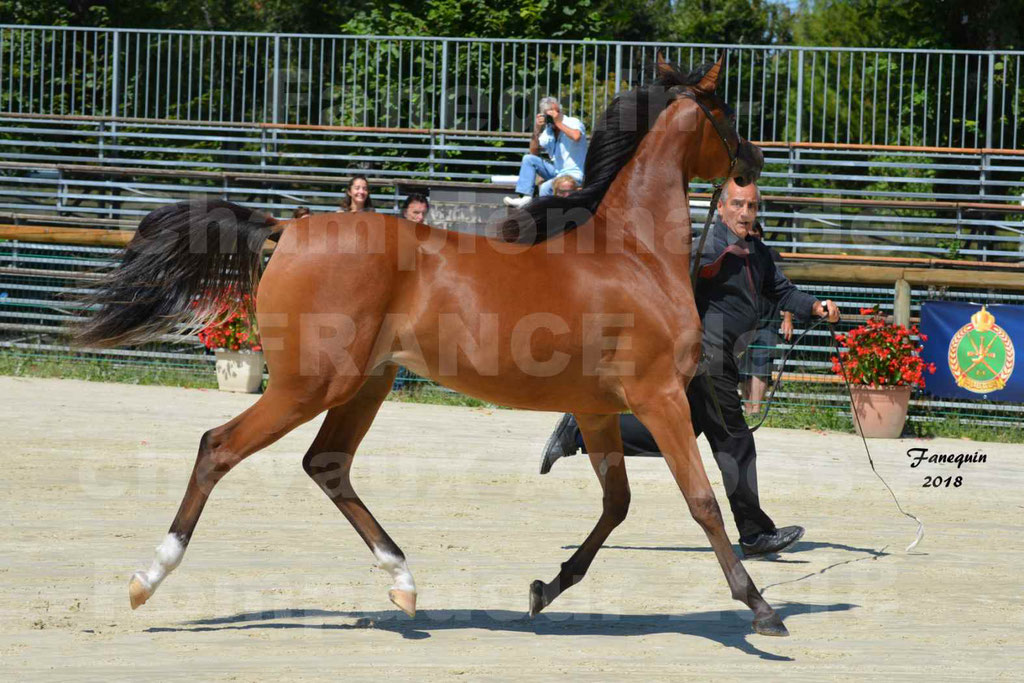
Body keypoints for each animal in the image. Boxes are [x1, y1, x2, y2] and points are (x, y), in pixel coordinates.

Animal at [75, 57, 786, 634]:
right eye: (726, 114)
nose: (754, 165)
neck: (631, 254)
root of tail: (289, 228)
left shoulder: (597, 408)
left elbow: (617, 504)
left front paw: (545, 589)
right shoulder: (658, 396)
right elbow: (702, 501)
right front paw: (760, 609)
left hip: (366, 382)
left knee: (326, 465)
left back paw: (404, 583)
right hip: (310, 384)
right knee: (217, 448)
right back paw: (147, 579)